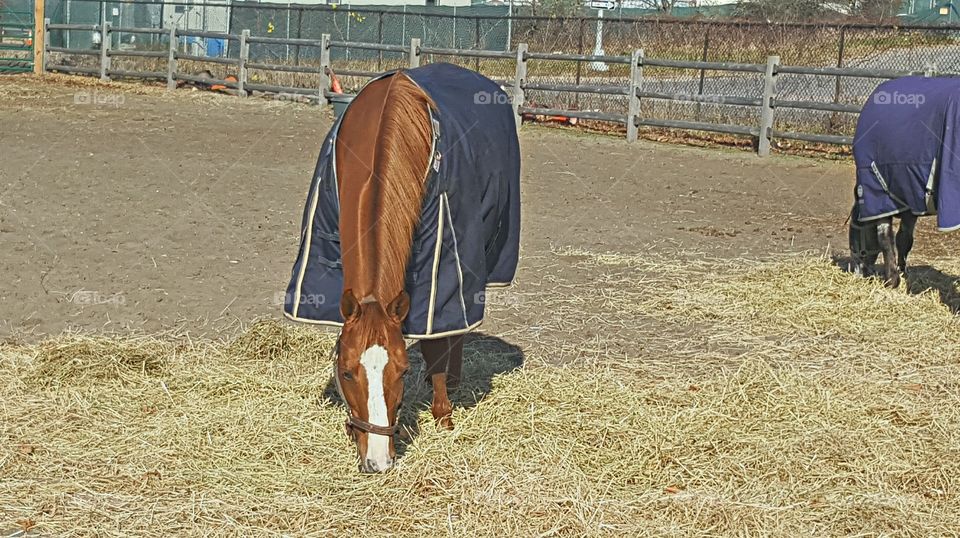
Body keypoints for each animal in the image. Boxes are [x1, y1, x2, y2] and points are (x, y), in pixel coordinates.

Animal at [283, 63, 521, 473]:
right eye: (347, 371)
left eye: (402, 370)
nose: (378, 460)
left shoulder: (442, 261)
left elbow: (435, 340)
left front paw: (443, 414)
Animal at [849, 76, 960, 287]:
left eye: (855, 227)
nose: (856, 271)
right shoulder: (910, 198)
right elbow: (904, 238)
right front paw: (902, 272)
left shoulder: (878, 192)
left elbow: (885, 237)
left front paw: (891, 280)